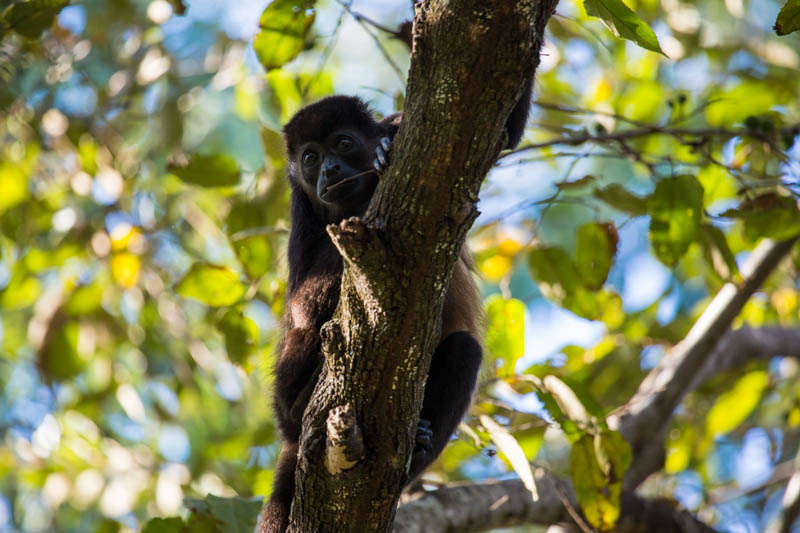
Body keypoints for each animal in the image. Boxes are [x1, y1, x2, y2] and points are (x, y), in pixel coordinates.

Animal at [260, 83, 528, 532]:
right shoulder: (300, 207)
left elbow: (507, 130)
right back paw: (302, 404)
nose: (329, 170)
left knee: (465, 350)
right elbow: (301, 305)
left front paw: (385, 150)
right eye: (310, 158)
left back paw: (417, 446)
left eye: (343, 144)